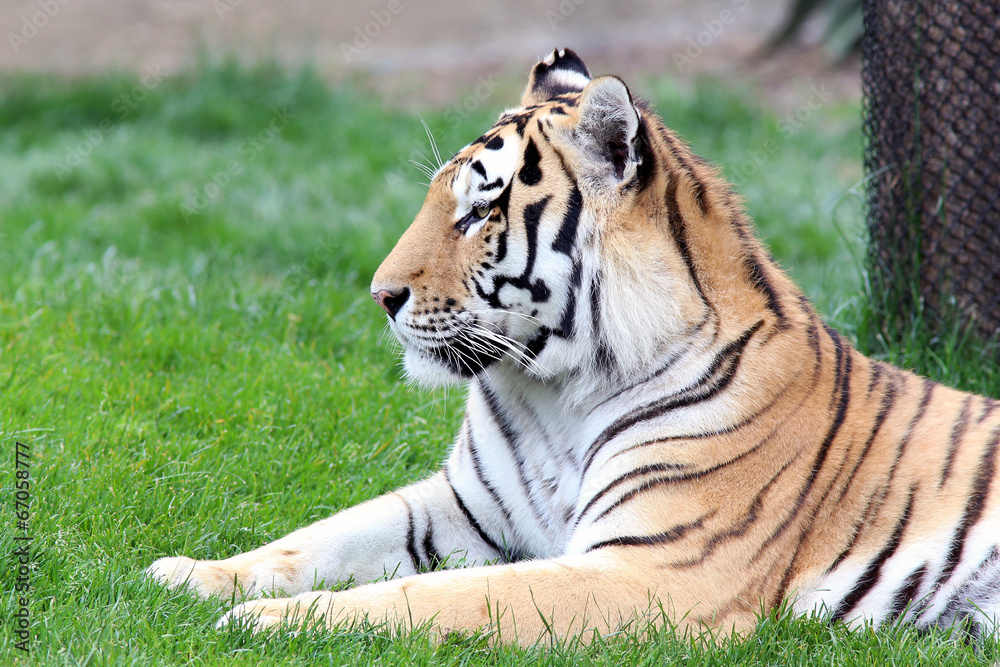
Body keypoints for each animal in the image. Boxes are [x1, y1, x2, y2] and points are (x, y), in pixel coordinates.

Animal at [147, 48, 1000, 645]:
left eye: (479, 213)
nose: (381, 295)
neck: (555, 390)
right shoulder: (463, 503)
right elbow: (316, 537)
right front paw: (186, 574)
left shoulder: (654, 568)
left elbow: (436, 597)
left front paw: (273, 624)